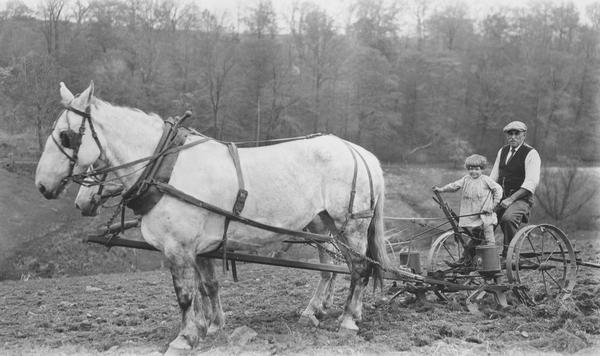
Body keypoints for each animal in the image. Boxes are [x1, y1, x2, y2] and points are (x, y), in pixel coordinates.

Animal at [35, 81, 390, 354]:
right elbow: (208, 286)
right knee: (333, 269)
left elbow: (184, 294)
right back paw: (315, 311)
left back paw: (349, 319)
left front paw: (185, 337)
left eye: (66, 136)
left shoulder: (178, 247)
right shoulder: (202, 246)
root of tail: (360, 152)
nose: (42, 185)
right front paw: (212, 326)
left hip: (351, 224)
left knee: (359, 269)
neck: (166, 167)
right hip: (323, 225)